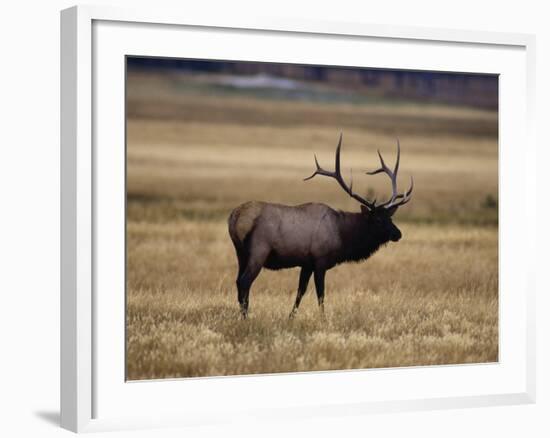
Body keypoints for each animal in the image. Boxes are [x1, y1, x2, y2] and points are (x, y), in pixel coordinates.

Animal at [229, 133, 414, 318]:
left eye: (390, 218)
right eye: (377, 220)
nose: (398, 234)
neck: (342, 235)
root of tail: (235, 218)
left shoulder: (306, 263)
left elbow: (300, 291)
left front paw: (291, 317)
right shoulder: (320, 260)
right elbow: (321, 294)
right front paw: (323, 318)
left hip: (241, 253)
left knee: (238, 281)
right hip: (259, 251)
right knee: (245, 282)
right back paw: (246, 317)